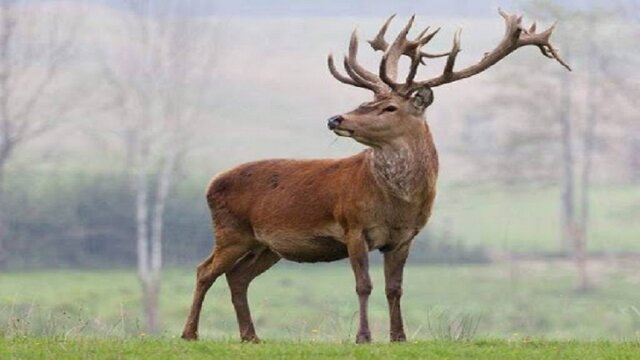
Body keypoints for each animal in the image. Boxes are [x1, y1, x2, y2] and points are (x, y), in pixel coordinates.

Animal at [180, 9, 568, 344]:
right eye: (365, 101)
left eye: (389, 107)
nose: (335, 118)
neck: (397, 203)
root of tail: (211, 183)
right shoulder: (353, 227)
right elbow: (363, 285)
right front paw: (364, 337)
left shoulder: (405, 237)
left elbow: (394, 288)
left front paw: (398, 336)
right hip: (231, 231)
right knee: (204, 270)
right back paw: (190, 333)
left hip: (267, 245)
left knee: (237, 277)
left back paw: (251, 336)